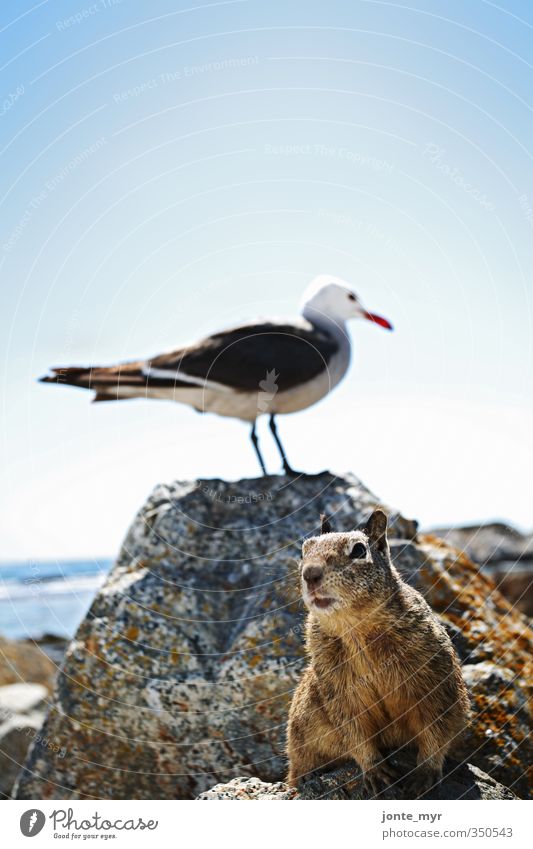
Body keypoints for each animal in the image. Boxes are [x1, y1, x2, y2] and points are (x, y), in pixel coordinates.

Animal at [286, 510, 470, 796]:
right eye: (305, 550)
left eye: (359, 550)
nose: (310, 574)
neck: (354, 629)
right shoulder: (339, 693)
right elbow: (355, 733)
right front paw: (376, 771)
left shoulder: (435, 682)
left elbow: (436, 726)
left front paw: (424, 774)